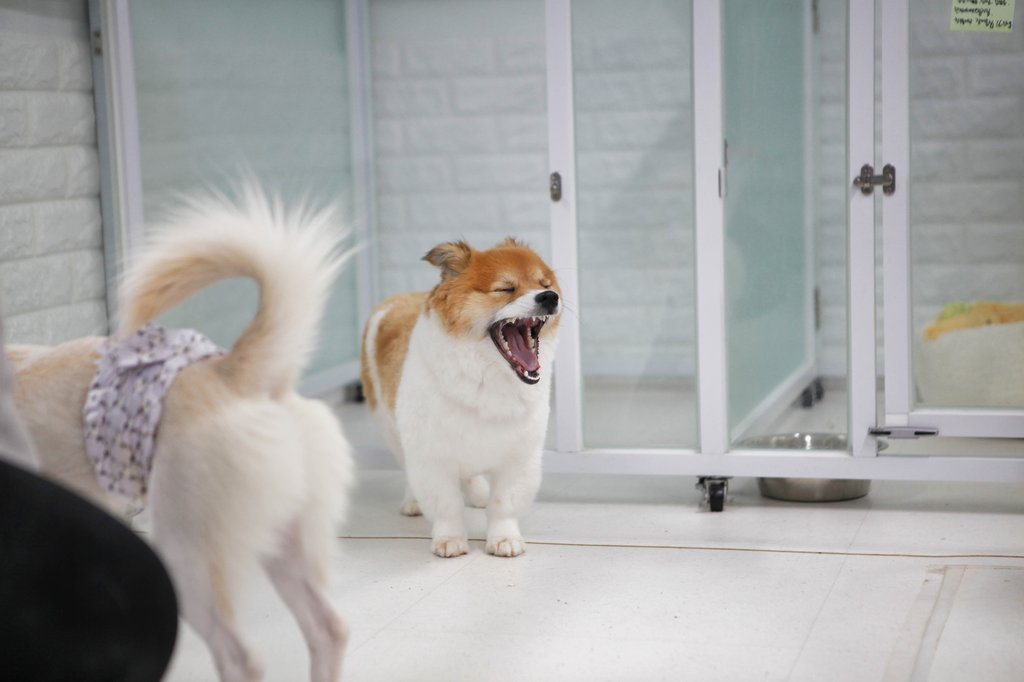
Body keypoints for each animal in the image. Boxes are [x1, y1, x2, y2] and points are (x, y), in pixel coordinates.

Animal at [362, 238, 561, 557]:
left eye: (545, 283)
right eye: (505, 288)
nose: (549, 297)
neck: (486, 378)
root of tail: (395, 300)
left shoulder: (518, 456)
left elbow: (504, 504)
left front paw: (503, 538)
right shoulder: (431, 456)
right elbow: (446, 504)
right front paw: (450, 539)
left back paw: (479, 493)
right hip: (391, 427)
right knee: (407, 467)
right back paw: (413, 501)